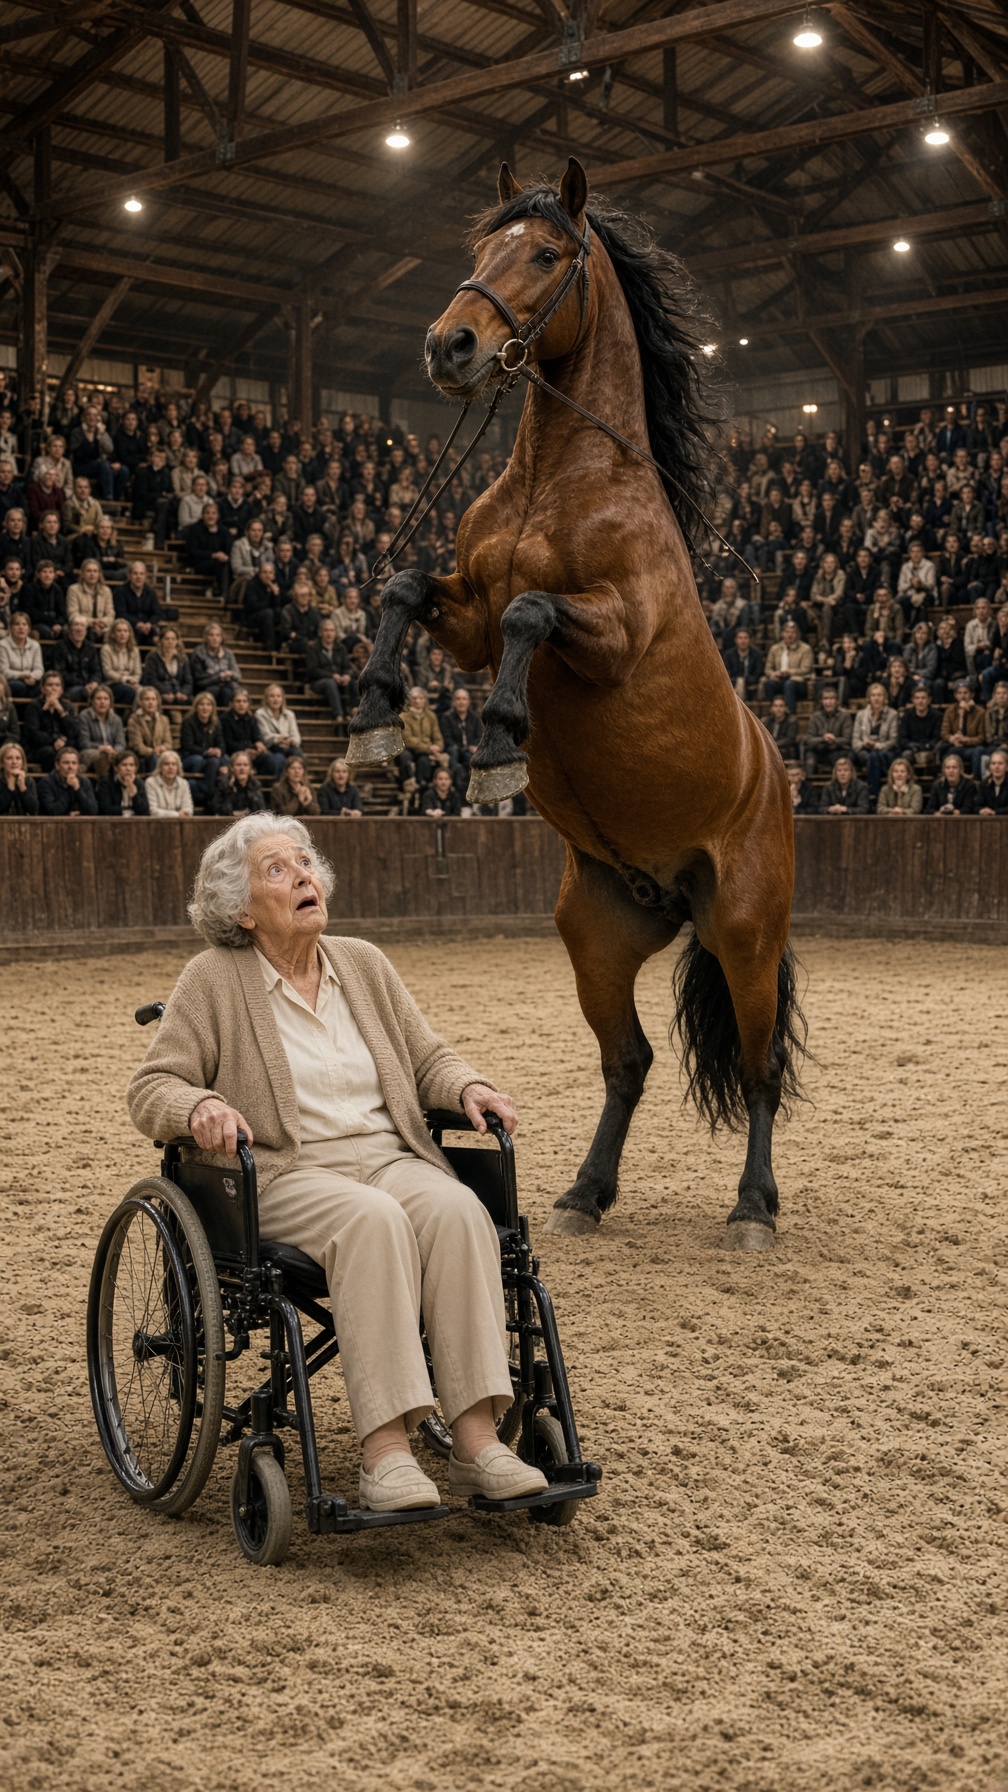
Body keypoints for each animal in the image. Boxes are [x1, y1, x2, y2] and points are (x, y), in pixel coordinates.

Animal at [347, 157, 805, 1251]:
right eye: (483, 249)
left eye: (548, 254)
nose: (451, 345)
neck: (562, 474)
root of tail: (775, 776)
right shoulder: (464, 619)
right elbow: (407, 589)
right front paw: (376, 720)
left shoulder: (612, 633)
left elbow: (533, 610)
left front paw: (496, 750)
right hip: (596, 934)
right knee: (628, 1060)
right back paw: (584, 1194)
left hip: (745, 932)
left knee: (759, 1067)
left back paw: (753, 1208)